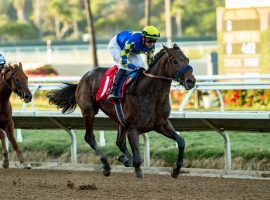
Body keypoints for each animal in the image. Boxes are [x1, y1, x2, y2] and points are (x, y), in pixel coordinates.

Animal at [46, 43, 194, 178]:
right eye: (175, 61)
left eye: (187, 59)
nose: (191, 81)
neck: (150, 94)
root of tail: (82, 79)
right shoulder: (133, 128)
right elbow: (138, 159)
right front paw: (135, 169)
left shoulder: (162, 124)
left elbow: (181, 141)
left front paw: (176, 169)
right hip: (89, 112)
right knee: (90, 137)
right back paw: (106, 166)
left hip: (119, 119)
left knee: (120, 143)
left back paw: (123, 159)